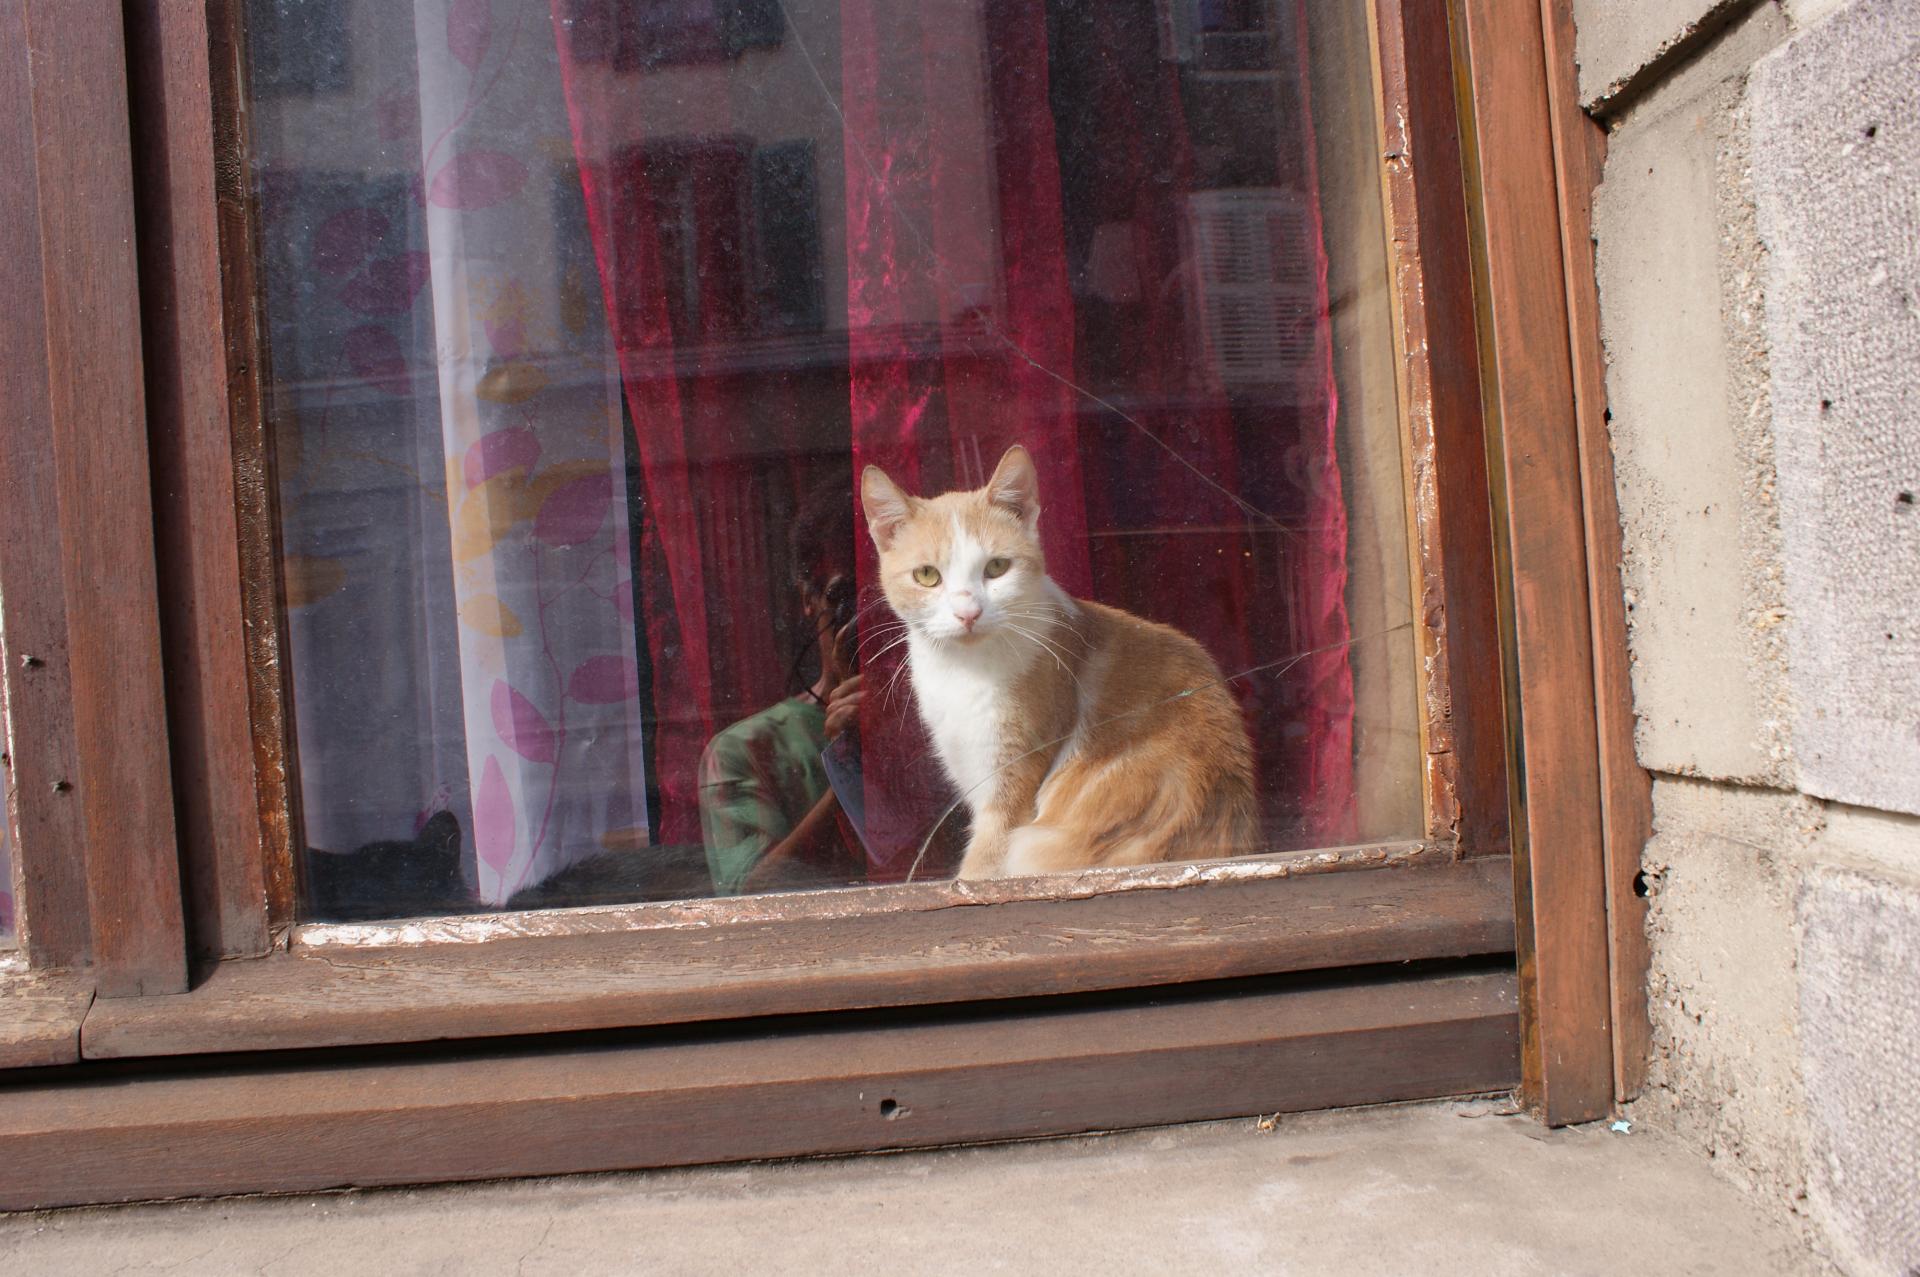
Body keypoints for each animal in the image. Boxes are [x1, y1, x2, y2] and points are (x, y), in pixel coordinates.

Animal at [860, 441, 1259, 875]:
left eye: (996, 567)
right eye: (927, 576)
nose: (968, 613)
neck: (963, 671)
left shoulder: (1011, 783)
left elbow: (983, 863)